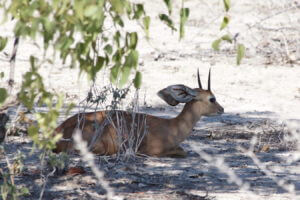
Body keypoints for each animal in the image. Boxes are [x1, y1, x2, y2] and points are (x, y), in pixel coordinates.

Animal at [53, 70, 223, 158]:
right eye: (212, 98)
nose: (221, 109)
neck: (172, 127)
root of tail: (58, 131)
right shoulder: (155, 151)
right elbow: (183, 152)